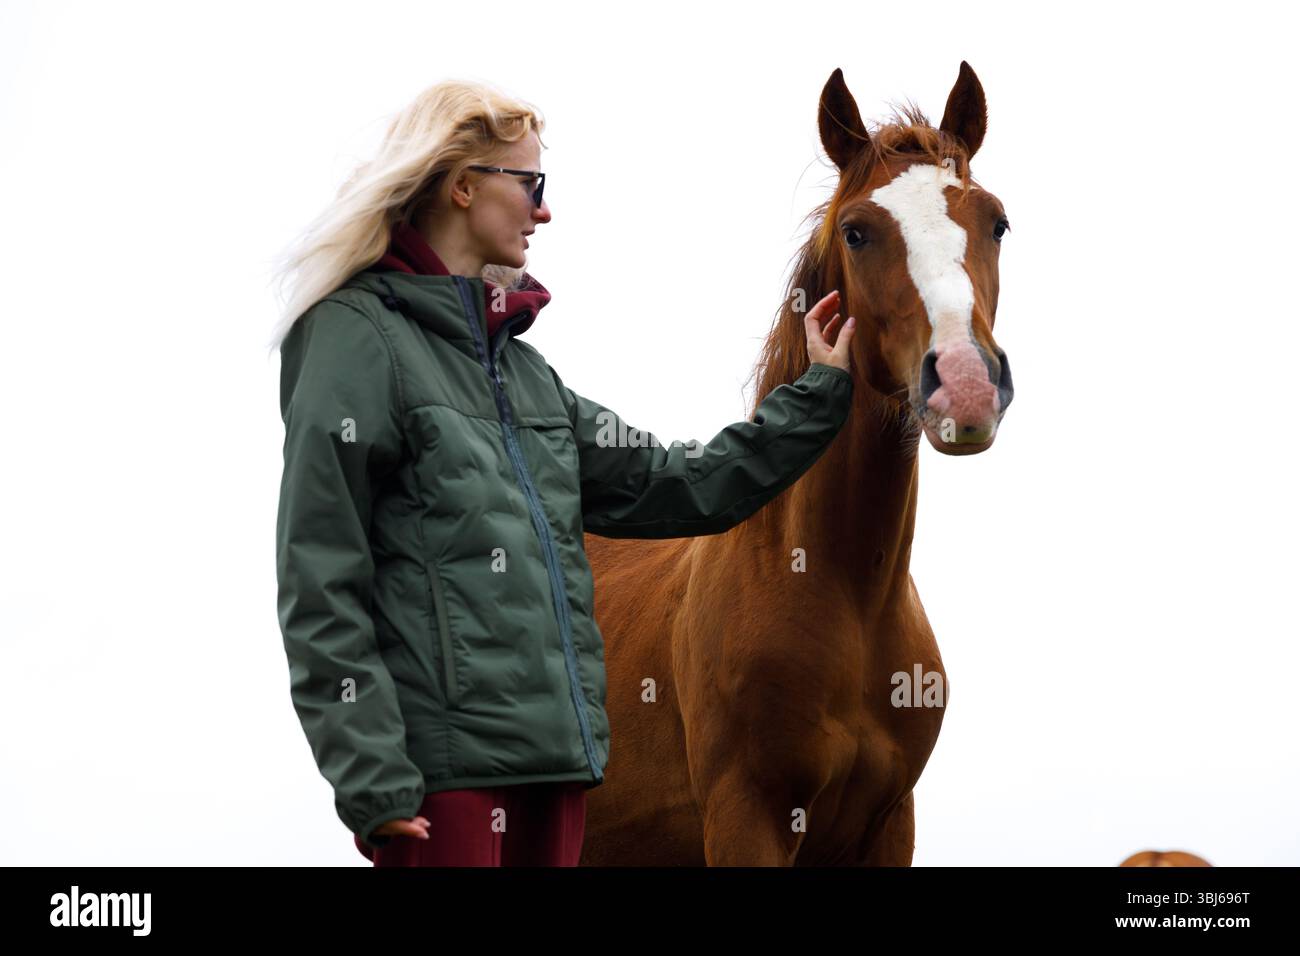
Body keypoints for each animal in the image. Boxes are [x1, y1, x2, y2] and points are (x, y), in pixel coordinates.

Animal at [578, 61, 1014, 866]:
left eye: (996, 221)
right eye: (856, 231)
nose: (965, 384)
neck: (843, 592)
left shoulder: (891, 827)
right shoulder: (746, 818)